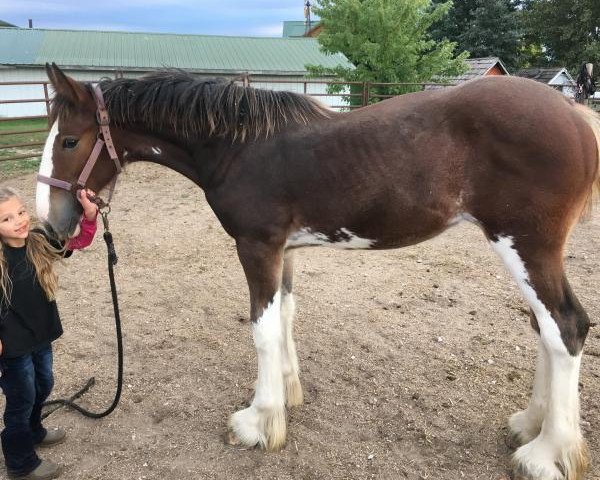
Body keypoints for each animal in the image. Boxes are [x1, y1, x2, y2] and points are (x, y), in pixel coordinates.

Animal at [36, 64, 600, 480]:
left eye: (69, 142)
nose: (51, 223)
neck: (238, 146)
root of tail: (574, 113)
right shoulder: (284, 249)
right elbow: (285, 314)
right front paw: (287, 393)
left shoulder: (257, 246)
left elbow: (262, 329)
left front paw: (259, 422)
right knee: (544, 327)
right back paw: (529, 424)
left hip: (525, 246)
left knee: (566, 327)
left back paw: (546, 453)